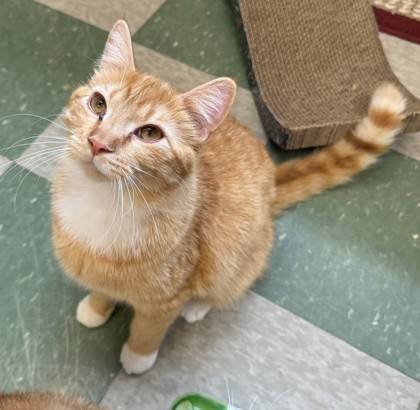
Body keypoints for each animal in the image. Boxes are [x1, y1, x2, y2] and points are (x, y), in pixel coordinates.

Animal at [50, 20, 406, 374]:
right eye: (98, 104)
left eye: (150, 133)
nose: (98, 143)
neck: (101, 201)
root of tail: (272, 181)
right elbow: (101, 287)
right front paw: (97, 307)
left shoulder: (167, 297)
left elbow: (148, 328)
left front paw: (138, 357)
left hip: (237, 258)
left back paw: (198, 306)